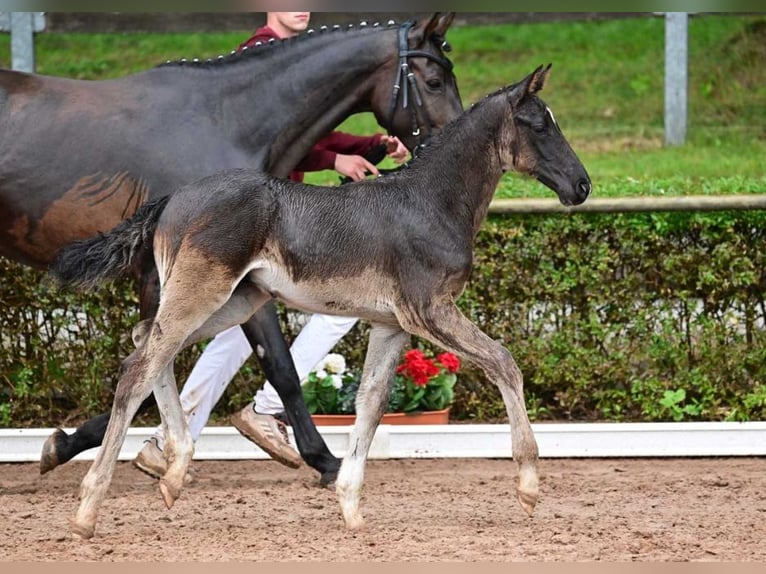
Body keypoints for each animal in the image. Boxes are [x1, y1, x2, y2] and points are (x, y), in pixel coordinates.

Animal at [55, 67, 592, 540]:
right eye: (539, 125)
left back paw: (173, 472)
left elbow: (371, 402)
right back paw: (88, 510)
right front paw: (528, 486)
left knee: (145, 344)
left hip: (235, 302)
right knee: (138, 367)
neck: (429, 202)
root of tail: (172, 199)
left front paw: (351, 508)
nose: (582, 185)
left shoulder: (392, 324)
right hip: (203, 292)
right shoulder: (430, 310)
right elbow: (504, 362)